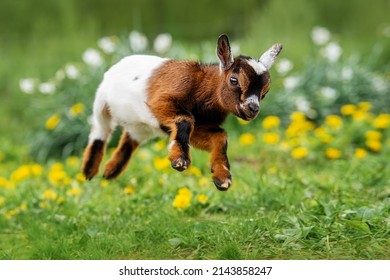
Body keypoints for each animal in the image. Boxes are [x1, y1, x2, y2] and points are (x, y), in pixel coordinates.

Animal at [83, 33, 284, 190]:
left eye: (265, 92)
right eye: (234, 80)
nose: (253, 109)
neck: (201, 86)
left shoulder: (201, 127)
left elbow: (220, 136)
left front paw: (222, 178)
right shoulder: (161, 101)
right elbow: (185, 119)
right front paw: (180, 161)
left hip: (140, 127)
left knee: (128, 139)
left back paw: (111, 171)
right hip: (101, 102)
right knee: (100, 131)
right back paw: (89, 171)